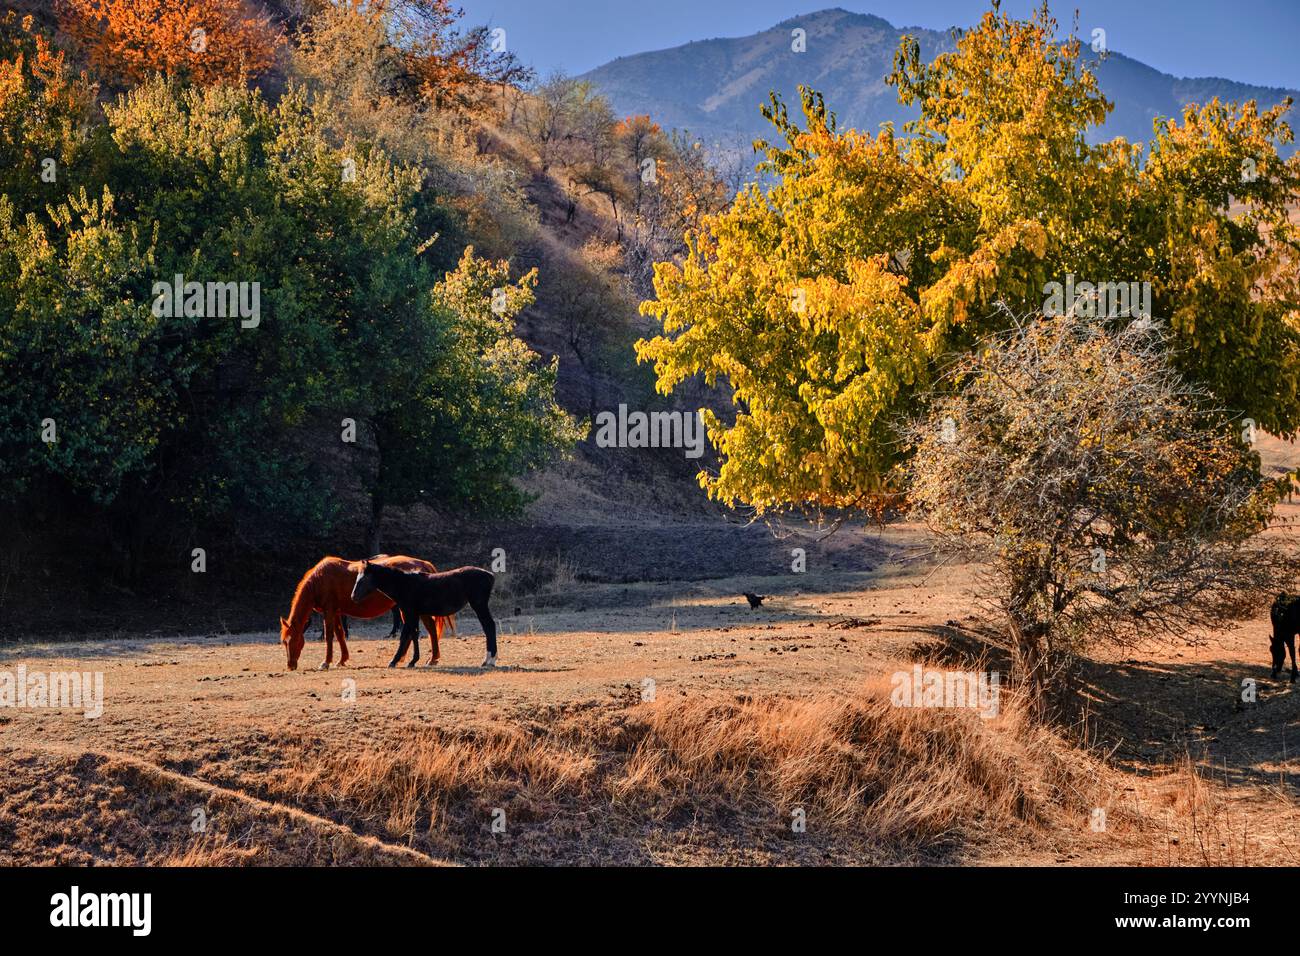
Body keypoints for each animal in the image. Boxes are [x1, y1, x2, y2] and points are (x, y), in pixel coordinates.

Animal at [280, 555, 453, 671]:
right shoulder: (336, 612)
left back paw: (430, 658)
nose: (290, 665)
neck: (320, 579)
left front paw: (326, 662)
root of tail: (422, 563)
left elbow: (329, 636)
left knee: (428, 629)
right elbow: (340, 634)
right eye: (284, 642)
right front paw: (342, 659)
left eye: (293, 640)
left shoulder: (329, 611)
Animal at [351, 562, 498, 668]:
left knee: (489, 626)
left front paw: (394, 661)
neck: (404, 584)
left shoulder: (409, 613)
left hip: (479, 606)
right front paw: (413, 661)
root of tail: (489, 575)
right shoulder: (414, 615)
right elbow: (414, 635)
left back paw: (489, 660)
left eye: (362, 580)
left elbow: (404, 636)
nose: (353, 596)